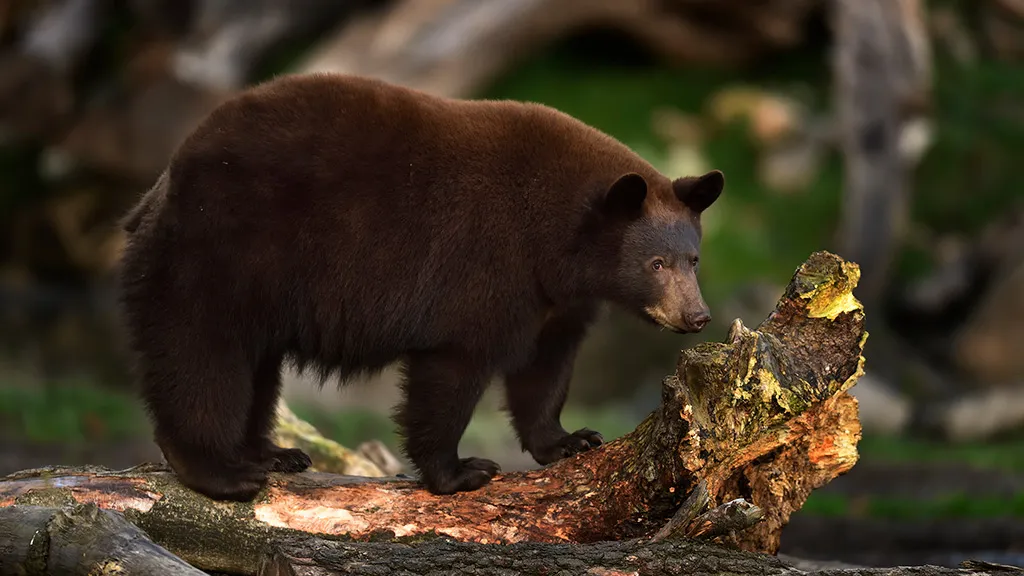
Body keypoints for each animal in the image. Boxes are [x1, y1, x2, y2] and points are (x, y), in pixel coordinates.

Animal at [117, 72, 724, 501]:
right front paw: (460, 471)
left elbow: (545, 365)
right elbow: (455, 365)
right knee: (202, 354)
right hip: (221, 250)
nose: (697, 316)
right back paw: (224, 472)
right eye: (656, 264)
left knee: (253, 364)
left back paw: (273, 454)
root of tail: (161, 184)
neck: (557, 235)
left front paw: (569, 439)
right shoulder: (485, 261)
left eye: (693, 259)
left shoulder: (556, 298)